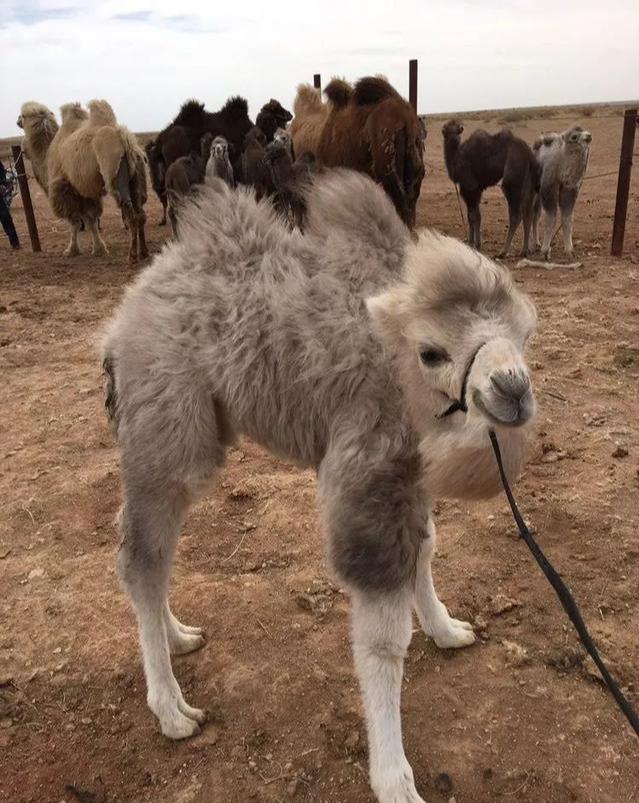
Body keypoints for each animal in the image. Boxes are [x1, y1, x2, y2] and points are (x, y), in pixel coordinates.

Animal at [102, 170, 536, 803]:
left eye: (525, 336)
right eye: (432, 351)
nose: (512, 388)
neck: (394, 359)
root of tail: (123, 316)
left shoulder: (408, 466)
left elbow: (426, 547)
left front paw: (448, 629)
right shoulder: (369, 466)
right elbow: (382, 639)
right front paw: (394, 779)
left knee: (154, 558)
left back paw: (180, 635)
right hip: (169, 426)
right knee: (141, 558)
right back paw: (173, 711)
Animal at [442, 119, 544, 256]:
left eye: (457, 130)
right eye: (448, 130)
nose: (454, 138)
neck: (456, 159)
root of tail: (529, 154)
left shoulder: (469, 188)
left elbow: (472, 216)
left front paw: (473, 243)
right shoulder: (477, 189)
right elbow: (475, 216)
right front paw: (474, 243)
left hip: (512, 180)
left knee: (516, 215)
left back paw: (504, 251)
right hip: (530, 183)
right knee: (528, 212)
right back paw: (525, 250)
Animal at [532, 124, 592, 260]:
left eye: (585, 131)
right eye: (574, 137)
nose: (589, 136)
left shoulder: (569, 188)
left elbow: (567, 219)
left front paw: (569, 250)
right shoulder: (549, 187)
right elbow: (550, 219)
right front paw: (545, 251)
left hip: (539, 195)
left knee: (536, 215)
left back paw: (536, 242)